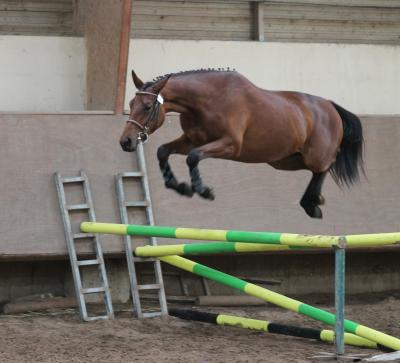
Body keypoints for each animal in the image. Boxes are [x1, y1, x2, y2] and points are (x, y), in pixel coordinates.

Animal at [118, 70, 362, 219]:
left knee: (325, 165)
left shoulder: (230, 145)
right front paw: (182, 187)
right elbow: (163, 151)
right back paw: (313, 199)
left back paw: (312, 204)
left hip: (312, 155)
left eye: (147, 107)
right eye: (131, 103)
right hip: (285, 160)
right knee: (320, 169)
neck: (206, 101)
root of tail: (329, 105)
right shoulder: (191, 140)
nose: (125, 141)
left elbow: (194, 157)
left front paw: (203, 190)